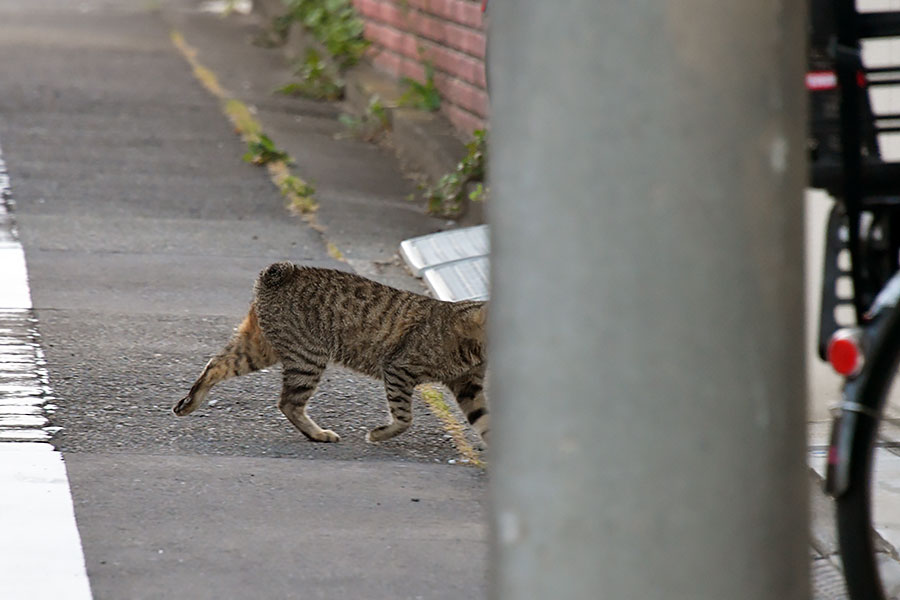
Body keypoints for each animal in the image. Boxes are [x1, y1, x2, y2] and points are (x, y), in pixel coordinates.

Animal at [172, 264, 488, 442]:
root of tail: (281, 272)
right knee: (288, 403)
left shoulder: (469, 386)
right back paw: (318, 434)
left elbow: (484, 422)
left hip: (259, 349)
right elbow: (403, 418)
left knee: (217, 364)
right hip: (307, 358)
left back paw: (188, 404)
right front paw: (379, 435)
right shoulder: (399, 369)